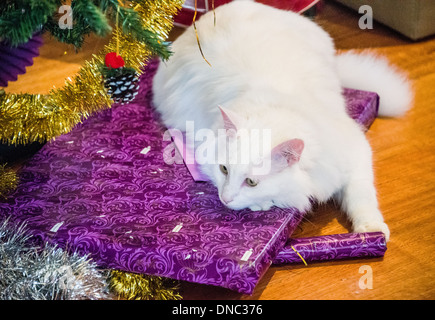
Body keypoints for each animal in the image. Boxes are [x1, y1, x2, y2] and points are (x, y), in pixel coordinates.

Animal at [152, 0, 412, 240]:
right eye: (224, 169)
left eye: (251, 182)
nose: (225, 199)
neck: (279, 104)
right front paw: (262, 203)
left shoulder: (356, 151)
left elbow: (362, 196)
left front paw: (371, 230)